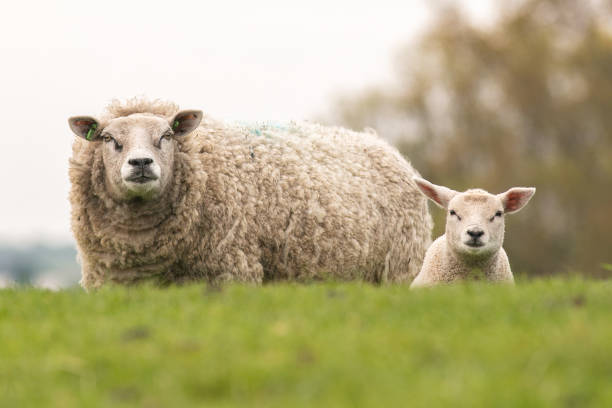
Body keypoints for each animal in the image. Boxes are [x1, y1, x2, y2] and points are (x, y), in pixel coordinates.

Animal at [67, 98, 432, 290]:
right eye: (109, 139)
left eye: (166, 136)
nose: (141, 163)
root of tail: (385, 146)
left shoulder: (229, 271)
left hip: (402, 267)